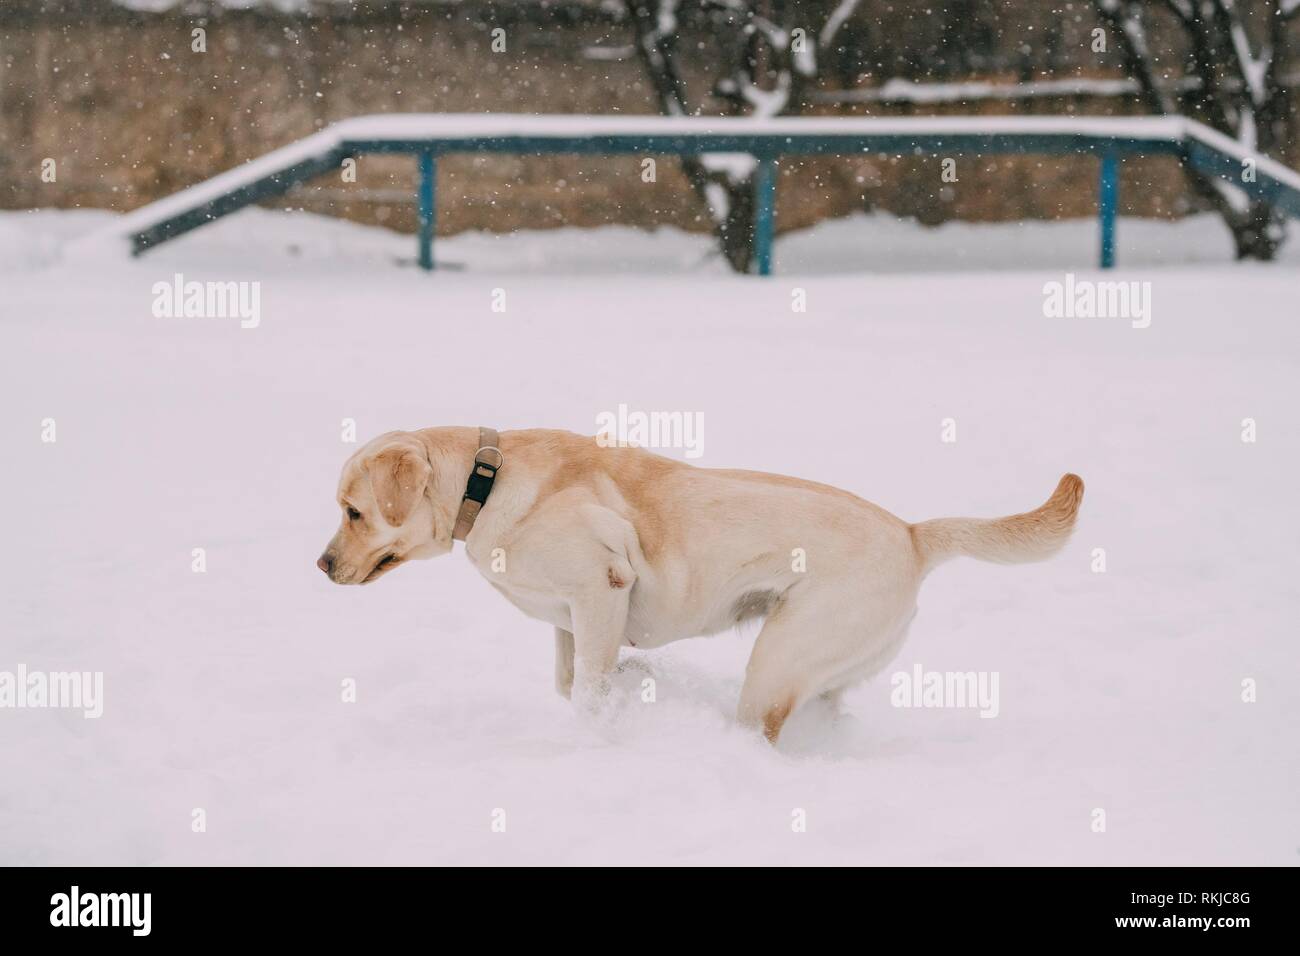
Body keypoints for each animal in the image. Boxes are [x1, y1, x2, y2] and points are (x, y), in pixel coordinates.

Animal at [319, 429, 1081, 749]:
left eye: (353, 512)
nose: (321, 566)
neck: (488, 481)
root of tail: (914, 535)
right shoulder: (572, 620)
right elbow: (573, 682)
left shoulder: (601, 589)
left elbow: (588, 694)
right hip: (822, 667)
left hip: (778, 658)